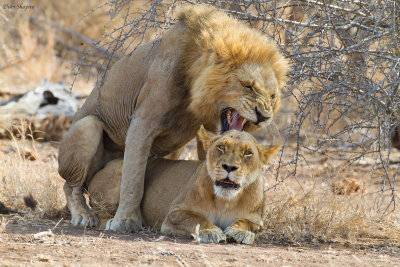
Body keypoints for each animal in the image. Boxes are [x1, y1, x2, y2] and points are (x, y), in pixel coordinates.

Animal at [57, 5, 288, 233]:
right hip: (87, 126)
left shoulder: (209, 128)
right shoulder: (142, 122)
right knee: (70, 185)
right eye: (247, 86)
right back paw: (84, 216)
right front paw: (126, 220)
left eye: (272, 96)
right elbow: (133, 180)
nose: (264, 116)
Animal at [88, 127, 278, 245]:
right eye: (221, 147)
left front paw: (240, 232)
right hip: (123, 170)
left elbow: (246, 222)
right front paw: (211, 231)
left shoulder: (257, 220)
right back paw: (116, 222)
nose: (229, 167)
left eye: (248, 153)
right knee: (100, 212)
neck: (225, 201)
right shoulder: (174, 213)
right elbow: (197, 218)